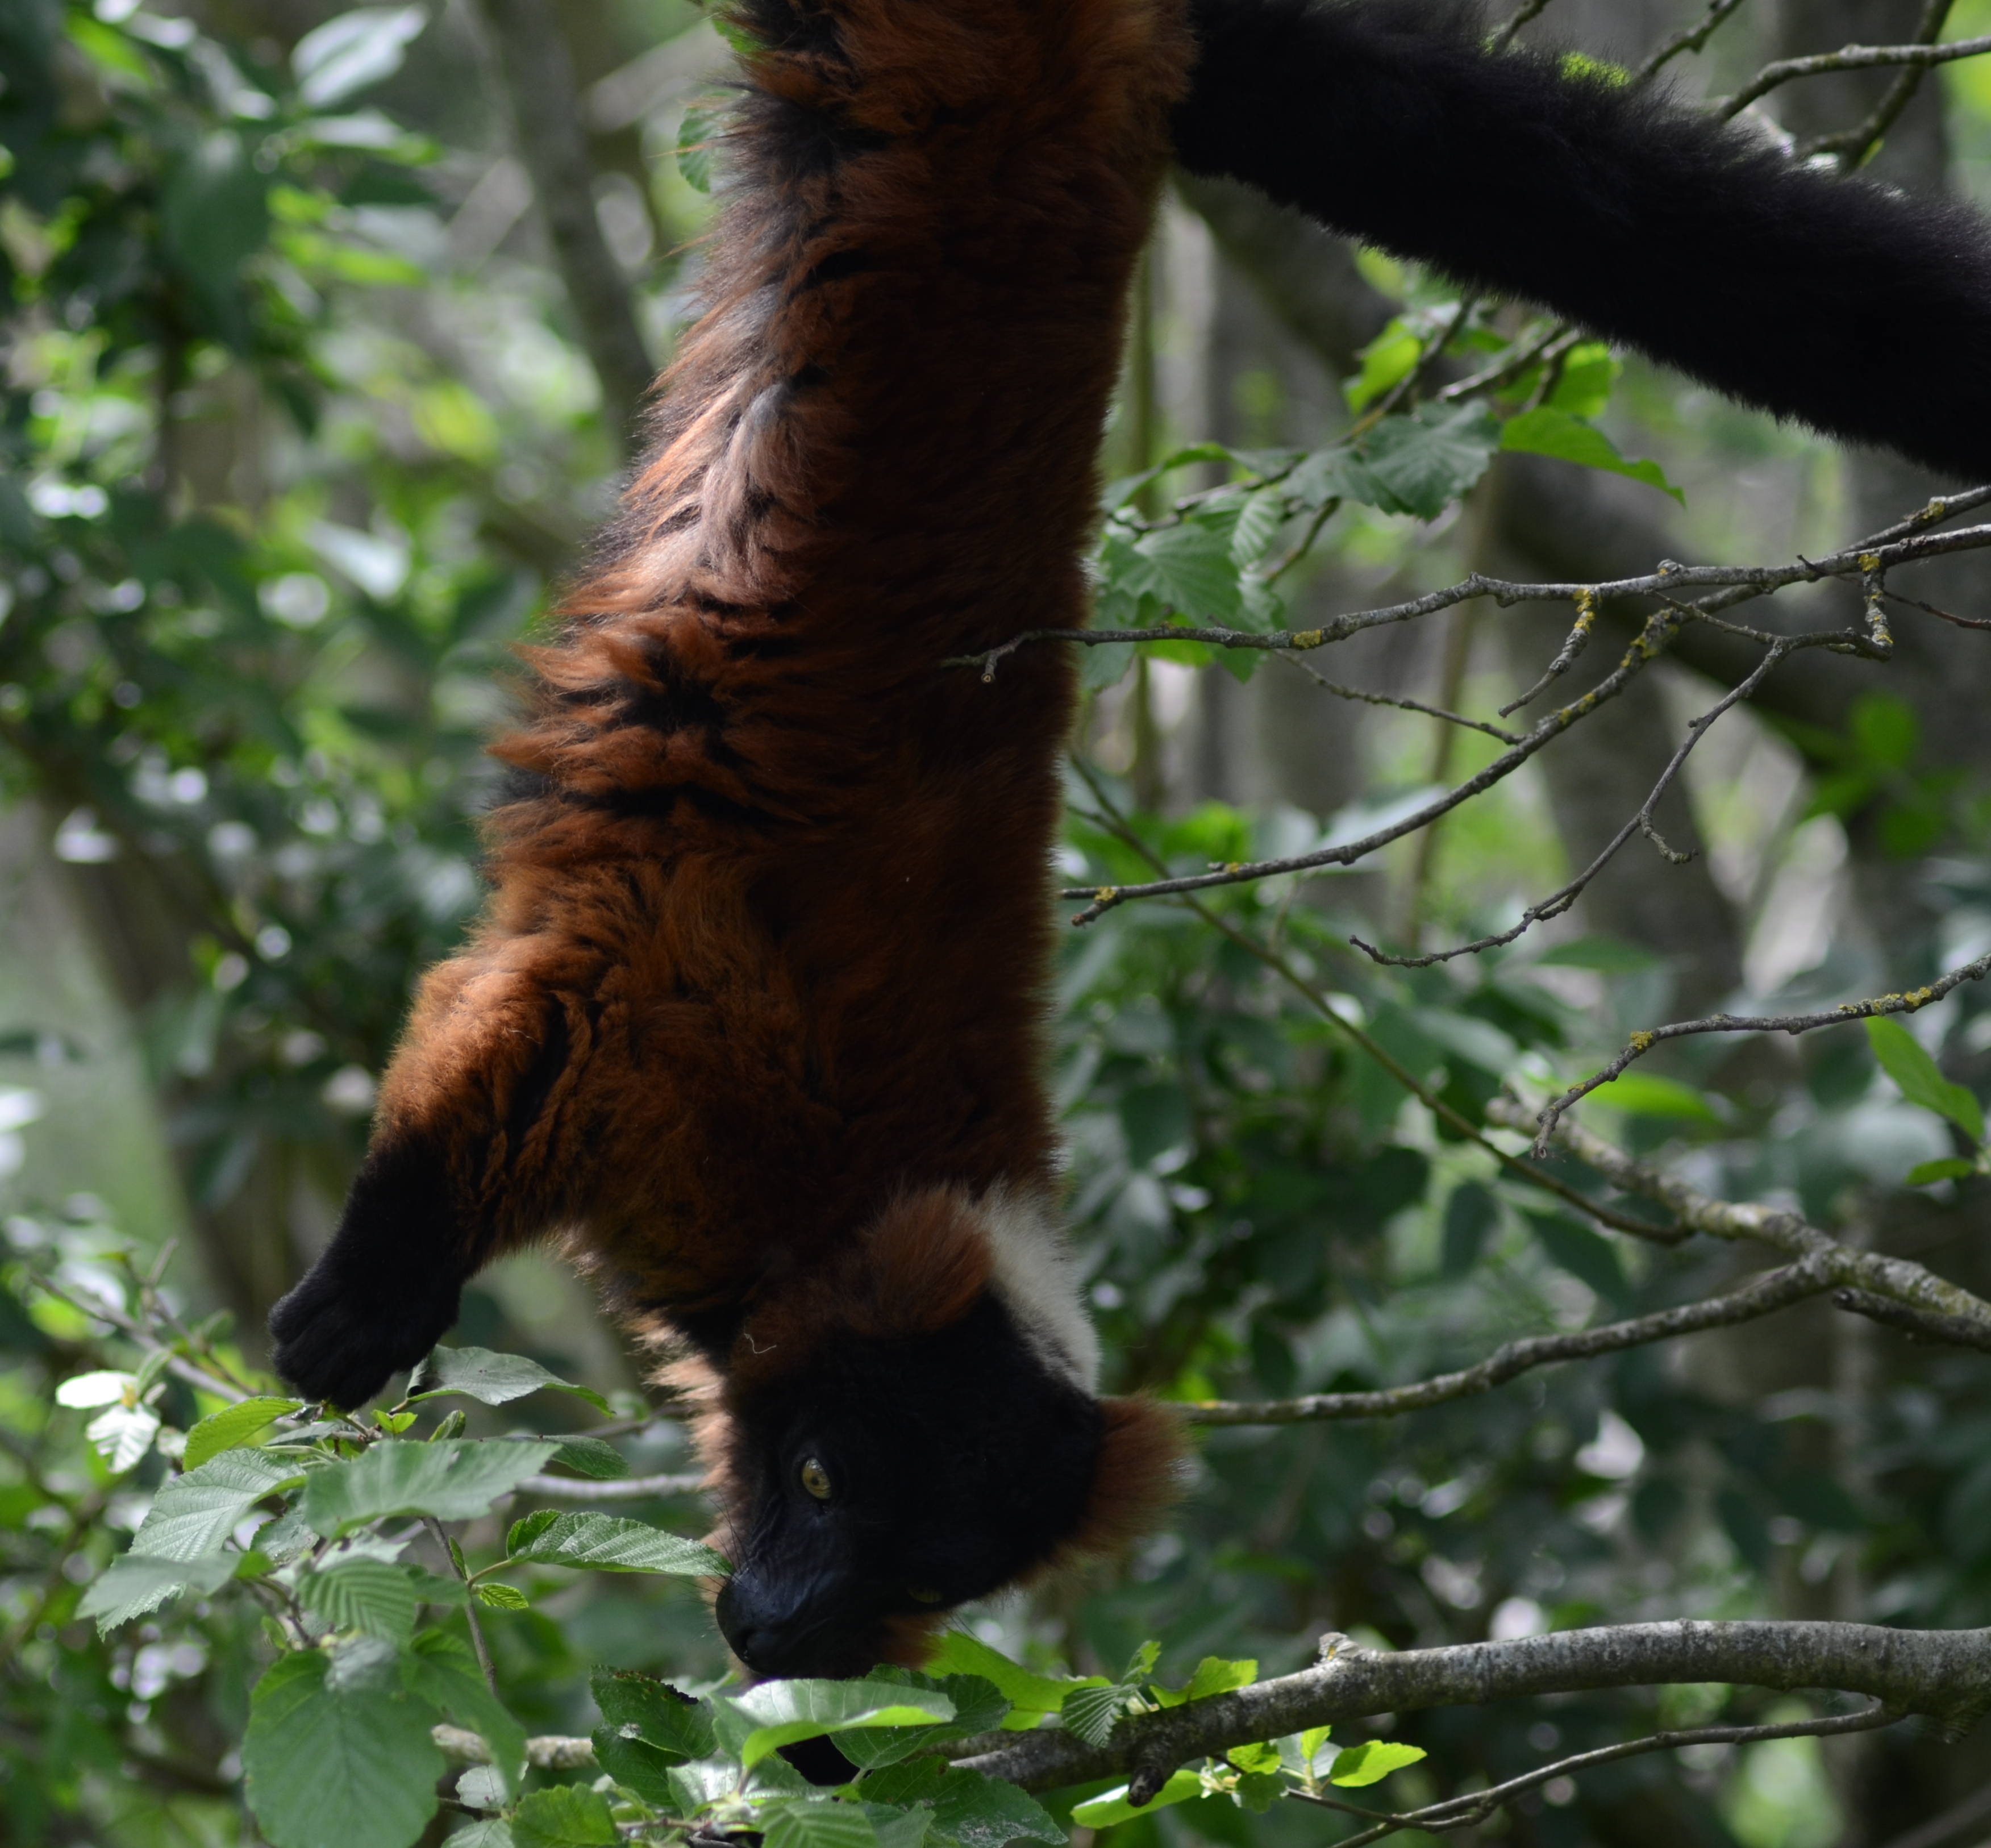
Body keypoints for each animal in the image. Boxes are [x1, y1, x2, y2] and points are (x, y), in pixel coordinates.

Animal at [270, 0, 1991, 1679]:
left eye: (924, 1575)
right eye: (820, 1478)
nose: (775, 1629)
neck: (831, 1215)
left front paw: (817, 1726)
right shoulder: (684, 1041)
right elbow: (515, 1048)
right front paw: (359, 1306)